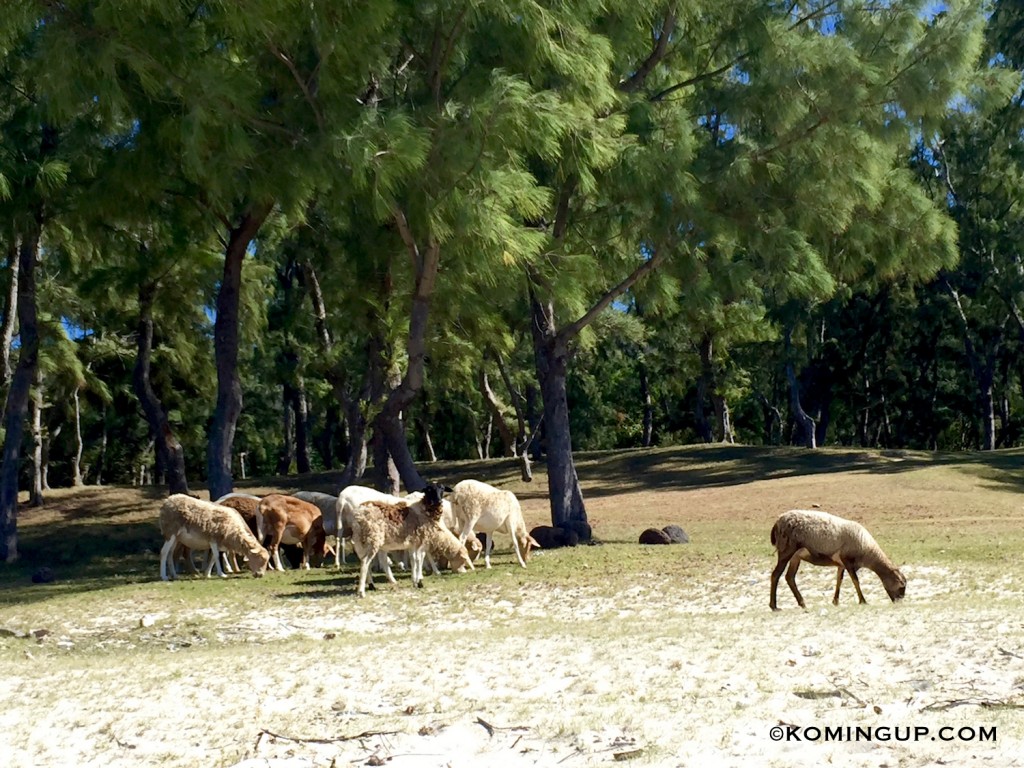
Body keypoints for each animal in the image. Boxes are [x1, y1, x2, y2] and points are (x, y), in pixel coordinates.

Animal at [770, 512, 905, 614]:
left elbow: (839, 580)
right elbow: (855, 581)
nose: (899, 601)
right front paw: (863, 601)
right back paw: (774, 606)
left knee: (789, 577)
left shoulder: (841, 564)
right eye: (901, 587)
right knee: (776, 574)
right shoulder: (847, 560)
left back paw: (802, 603)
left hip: (796, 556)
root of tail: (777, 523)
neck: (868, 552)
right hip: (786, 551)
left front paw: (835, 601)